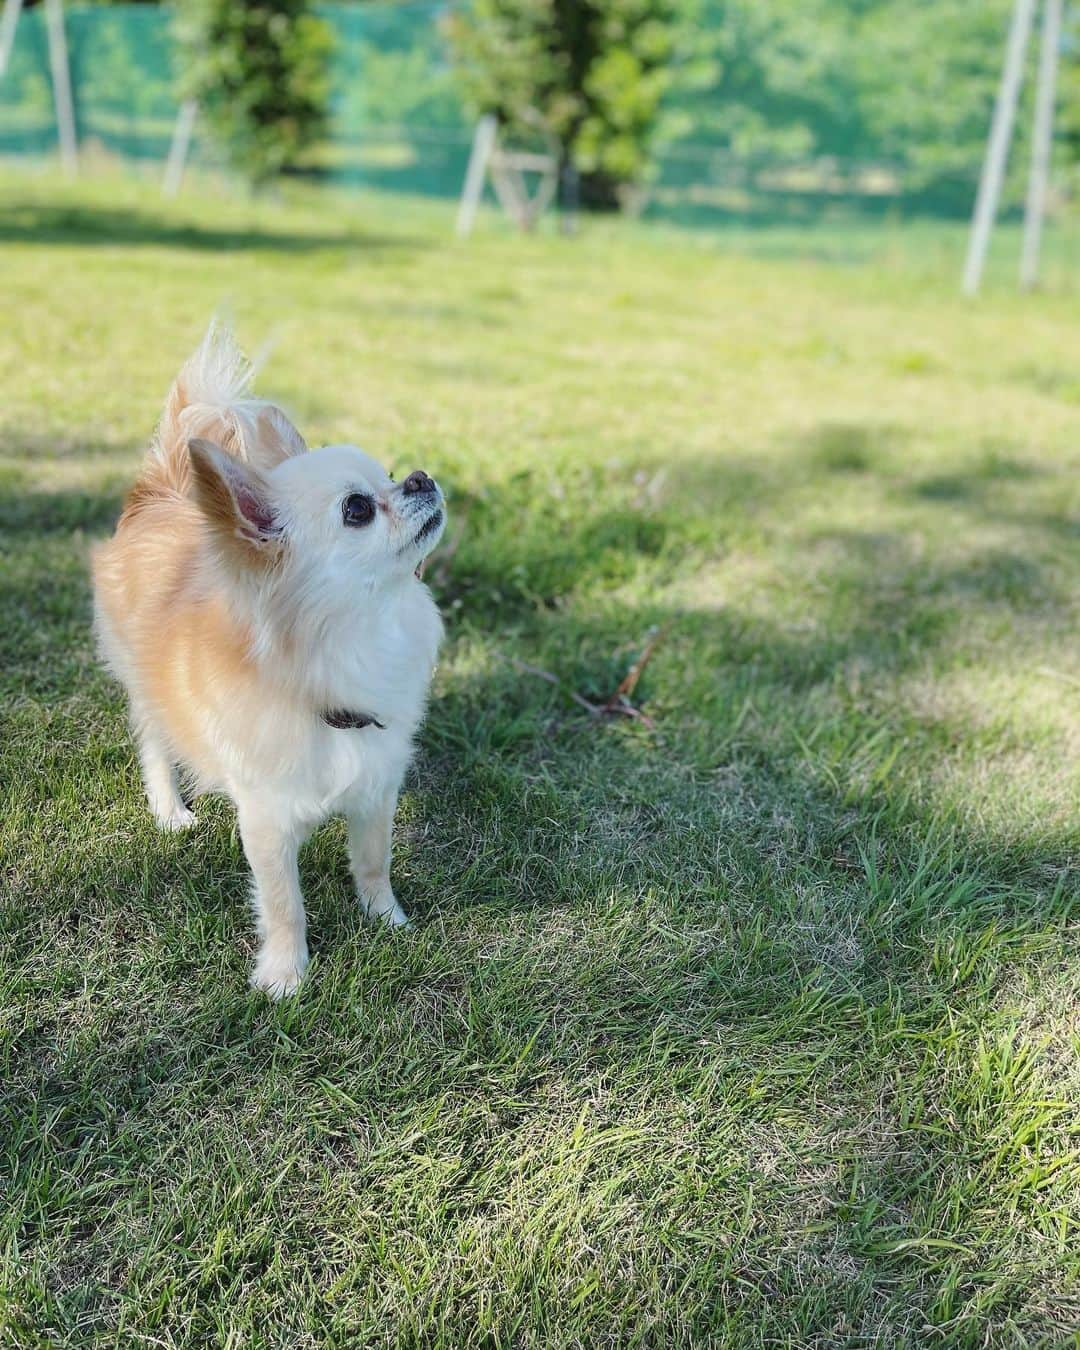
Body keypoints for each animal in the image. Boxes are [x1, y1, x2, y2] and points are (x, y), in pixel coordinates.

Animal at [93, 328, 445, 999]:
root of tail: (164, 490)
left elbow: (373, 861)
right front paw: (286, 975)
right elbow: (285, 904)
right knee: (154, 744)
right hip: (146, 688)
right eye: (358, 509)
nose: (420, 477)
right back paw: (170, 810)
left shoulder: (376, 785)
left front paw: (388, 921)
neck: (353, 640)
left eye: (391, 475)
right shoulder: (266, 818)